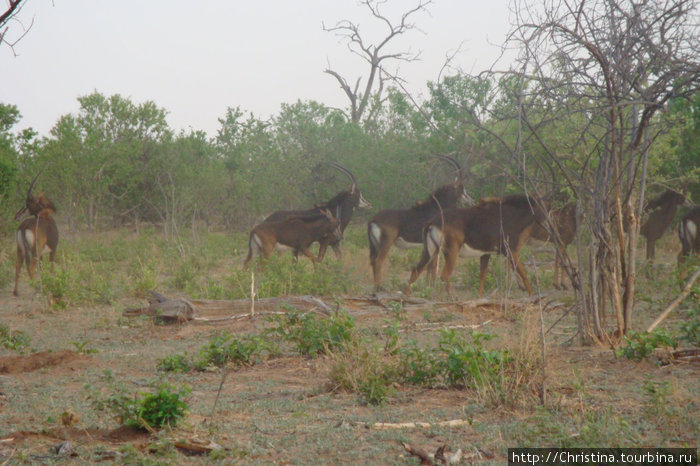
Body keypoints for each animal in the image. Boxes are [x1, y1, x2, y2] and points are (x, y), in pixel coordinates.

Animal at [364, 155, 474, 290]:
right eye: (462, 189)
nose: (471, 200)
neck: (436, 207)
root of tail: (373, 220)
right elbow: (433, 266)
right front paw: (431, 287)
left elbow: (430, 267)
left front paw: (428, 286)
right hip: (386, 243)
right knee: (378, 261)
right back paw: (380, 287)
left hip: (374, 245)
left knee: (373, 261)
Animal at [404, 194, 540, 296]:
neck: (510, 214)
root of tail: (432, 222)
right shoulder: (511, 251)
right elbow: (523, 273)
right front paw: (532, 295)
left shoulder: (486, 253)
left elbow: (482, 276)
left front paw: (479, 297)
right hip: (451, 251)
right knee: (444, 275)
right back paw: (454, 297)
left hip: (431, 251)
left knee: (416, 269)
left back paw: (407, 296)